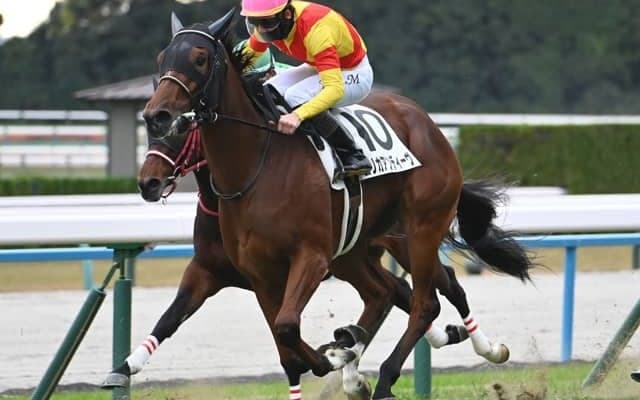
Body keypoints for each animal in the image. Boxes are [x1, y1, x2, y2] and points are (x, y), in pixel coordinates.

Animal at [142, 10, 535, 399]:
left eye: (200, 58)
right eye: (161, 58)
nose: (156, 116)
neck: (257, 166)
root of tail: (429, 125)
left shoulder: (312, 257)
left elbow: (288, 326)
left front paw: (337, 355)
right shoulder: (258, 273)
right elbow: (286, 347)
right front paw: (341, 352)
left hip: (420, 230)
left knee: (426, 302)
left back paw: (397, 374)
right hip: (358, 248)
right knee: (394, 292)